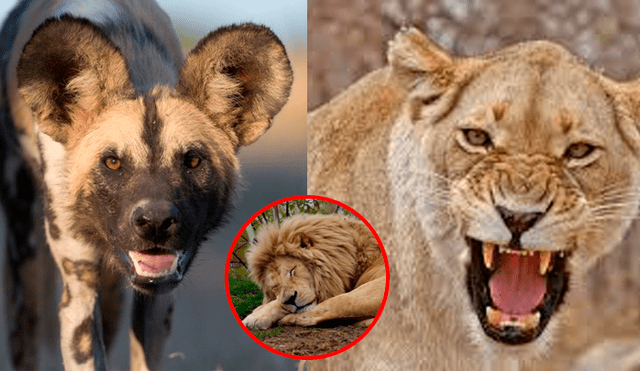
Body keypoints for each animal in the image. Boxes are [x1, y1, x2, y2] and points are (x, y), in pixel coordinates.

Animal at [0, 0, 294, 371]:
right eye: (112, 162)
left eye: (192, 161)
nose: (155, 223)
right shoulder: (79, 291)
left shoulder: (159, 297)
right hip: (24, 264)